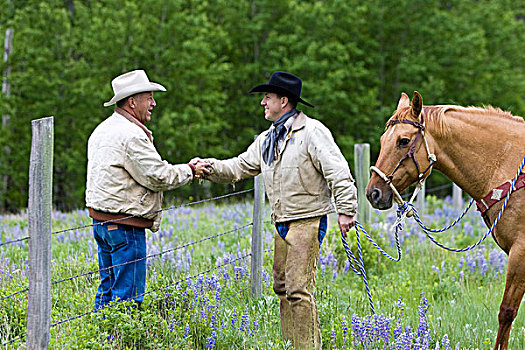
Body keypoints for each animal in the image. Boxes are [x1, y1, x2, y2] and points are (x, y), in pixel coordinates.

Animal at [364, 91, 524, 348]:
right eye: (382, 139)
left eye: (403, 141)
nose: (373, 193)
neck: (507, 164)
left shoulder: (520, 252)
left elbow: (506, 312)